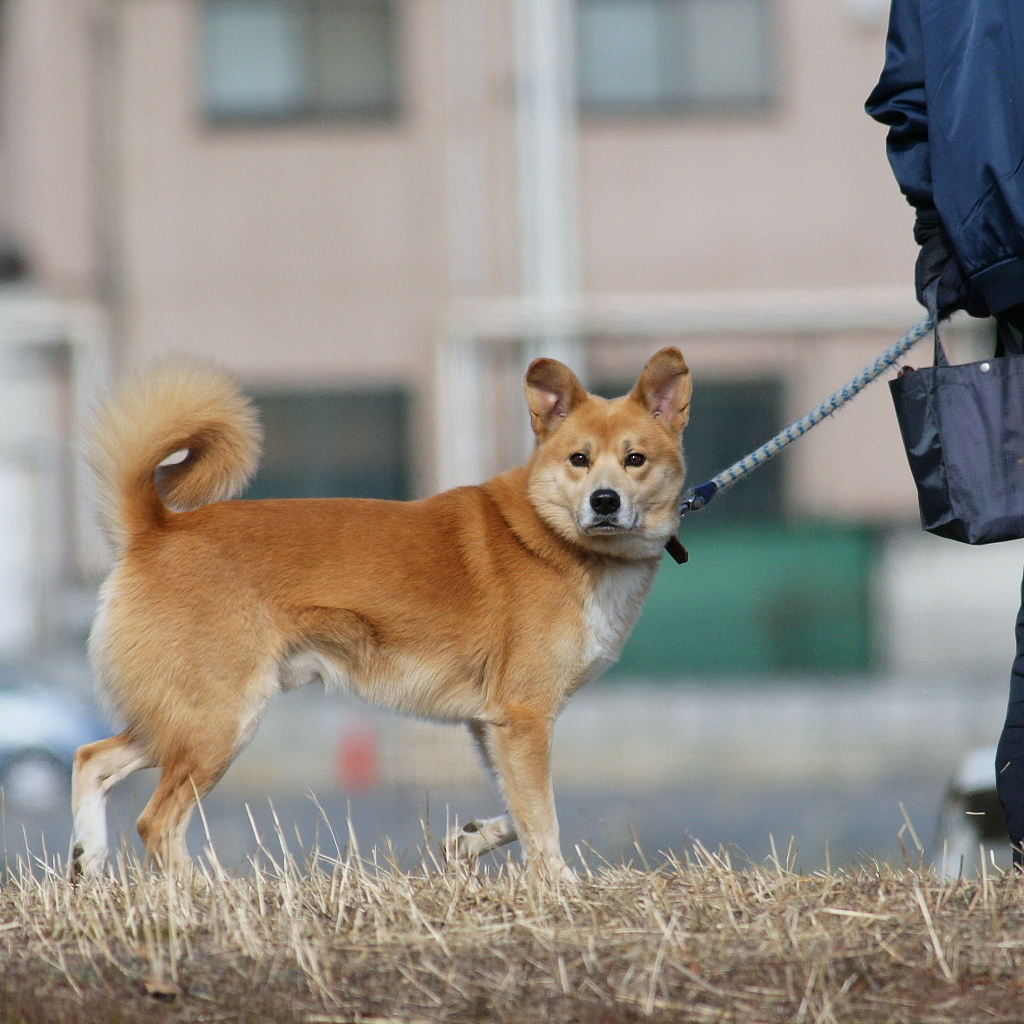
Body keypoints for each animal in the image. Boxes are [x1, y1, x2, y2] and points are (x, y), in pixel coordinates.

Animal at [70, 350, 696, 880]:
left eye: (635, 460)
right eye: (579, 460)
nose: (605, 501)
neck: (555, 538)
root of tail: (156, 529)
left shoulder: (493, 725)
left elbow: (520, 808)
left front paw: (470, 838)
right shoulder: (523, 718)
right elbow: (542, 819)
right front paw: (559, 885)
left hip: (179, 719)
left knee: (91, 759)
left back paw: (87, 863)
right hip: (218, 721)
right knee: (156, 821)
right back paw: (209, 893)